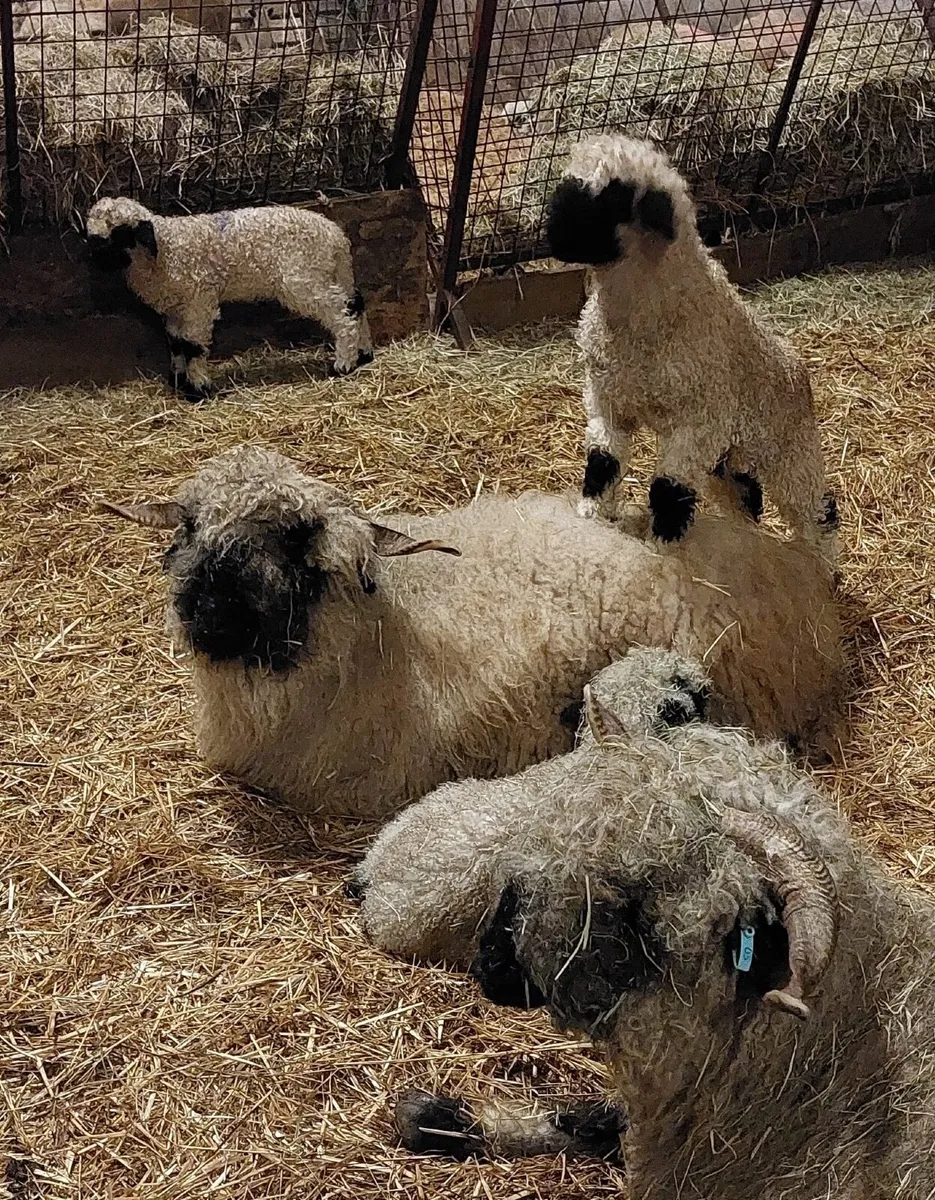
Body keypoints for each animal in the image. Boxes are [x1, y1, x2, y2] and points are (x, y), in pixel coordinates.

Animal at [85, 197, 372, 402]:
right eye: (92, 235)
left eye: (121, 233)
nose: (96, 259)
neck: (165, 249)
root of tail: (337, 237)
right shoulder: (176, 308)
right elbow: (176, 343)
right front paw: (179, 381)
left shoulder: (199, 301)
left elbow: (192, 345)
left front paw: (199, 389)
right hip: (334, 274)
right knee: (356, 303)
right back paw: (364, 354)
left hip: (303, 280)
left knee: (342, 313)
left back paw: (343, 364)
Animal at [545, 134, 839, 570]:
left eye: (614, 198)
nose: (552, 238)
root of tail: (798, 368)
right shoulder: (608, 403)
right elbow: (602, 464)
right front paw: (592, 519)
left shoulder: (697, 423)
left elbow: (668, 490)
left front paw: (662, 547)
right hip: (728, 457)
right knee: (747, 495)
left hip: (790, 449)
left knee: (817, 509)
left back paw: (824, 567)